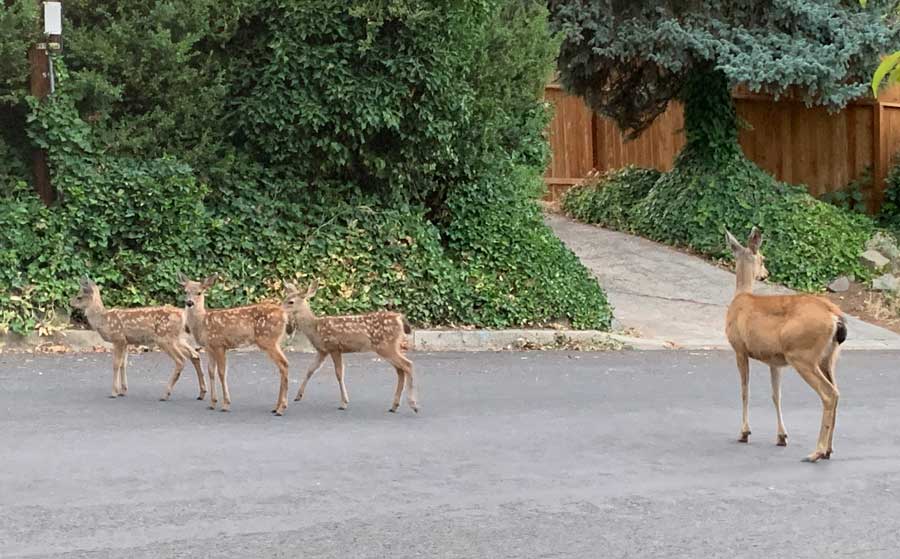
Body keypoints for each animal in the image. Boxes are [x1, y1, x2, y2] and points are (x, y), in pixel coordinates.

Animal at [69, 276, 207, 401]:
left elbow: (116, 364)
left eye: (79, 296)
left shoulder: (118, 338)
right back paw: (201, 393)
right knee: (195, 355)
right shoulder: (126, 342)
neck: (103, 319)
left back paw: (165, 394)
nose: (70, 303)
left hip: (164, 338)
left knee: (181, 360)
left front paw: (114, 392)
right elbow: (123, 364)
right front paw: (123, 391)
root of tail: (183, 315)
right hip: (177, 338)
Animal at [178, 273, 291, 415]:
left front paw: (226, 404)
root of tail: (284, 314)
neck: (203, 323)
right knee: (283, 365)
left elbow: (222, 373)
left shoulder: (219, 345)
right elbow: (211, 372)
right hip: (275, 341)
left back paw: (281, 408)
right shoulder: (209, 348)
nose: (189, 302)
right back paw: (276, 407)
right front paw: (212, 403)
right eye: (185, 291)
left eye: (199, 292)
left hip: (268, 340)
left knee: (284, 364)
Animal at [282, 280, 418, 414]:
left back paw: (413, 405)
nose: (280, 308)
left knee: (407, 364)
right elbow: (310, 369)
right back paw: (394, 406)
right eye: (285, 298)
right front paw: (298, 396)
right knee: (400, 370)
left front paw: (344, 403)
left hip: (386, 346)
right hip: (391, 346)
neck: (315, 328)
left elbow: (339, 373)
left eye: (291, 301)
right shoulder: (322, 351)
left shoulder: (334, 347)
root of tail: (399, 317)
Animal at [725, 227, 846, 463]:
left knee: (829, 394)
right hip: (828, 358)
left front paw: (744, 432)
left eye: (762, 258)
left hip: (802, 355)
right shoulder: (775, 361)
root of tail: (834, 317)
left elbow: (745, 390)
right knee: (837, 392)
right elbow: (776, 395)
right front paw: (782, 436)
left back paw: (816, 452)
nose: (765, 273)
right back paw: (828, 450)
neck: (741, 297)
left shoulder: (739, 348)